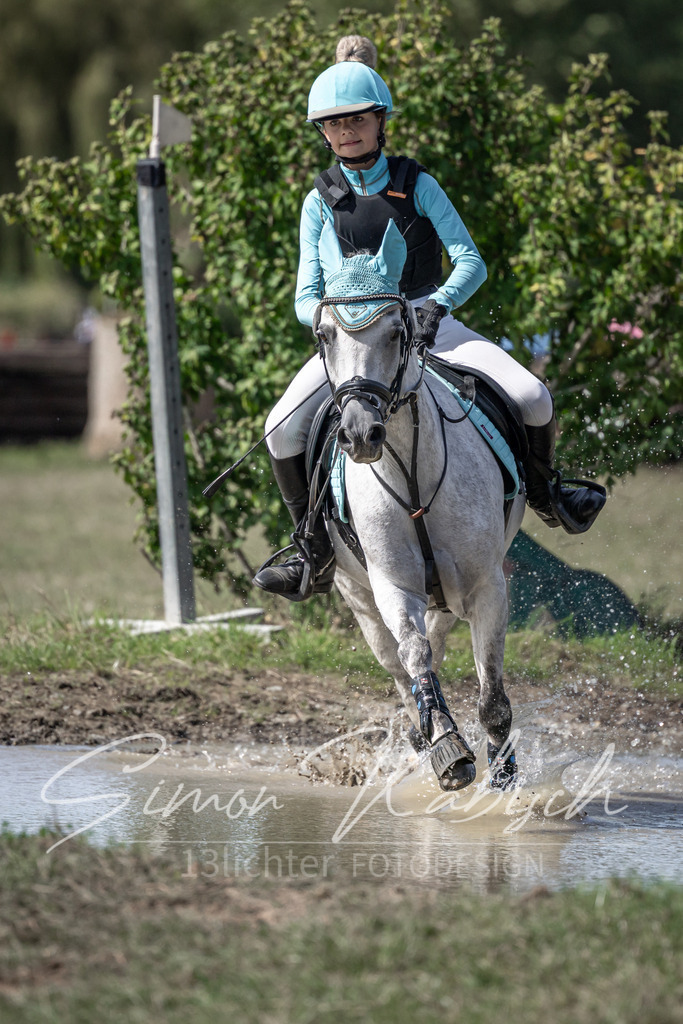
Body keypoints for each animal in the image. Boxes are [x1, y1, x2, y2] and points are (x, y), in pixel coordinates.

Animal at [311, 220, 526, 792]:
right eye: (325, 334)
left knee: (441, 638)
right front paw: (448, 749)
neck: (409, 471)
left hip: (449, 595)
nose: (359, 434)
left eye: (396, 332)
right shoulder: (393, 587)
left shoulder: (487, 586)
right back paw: (421, 735)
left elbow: (493, 699)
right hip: (358, 597)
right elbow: (415, 658)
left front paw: (503, 786)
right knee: (400, 664)